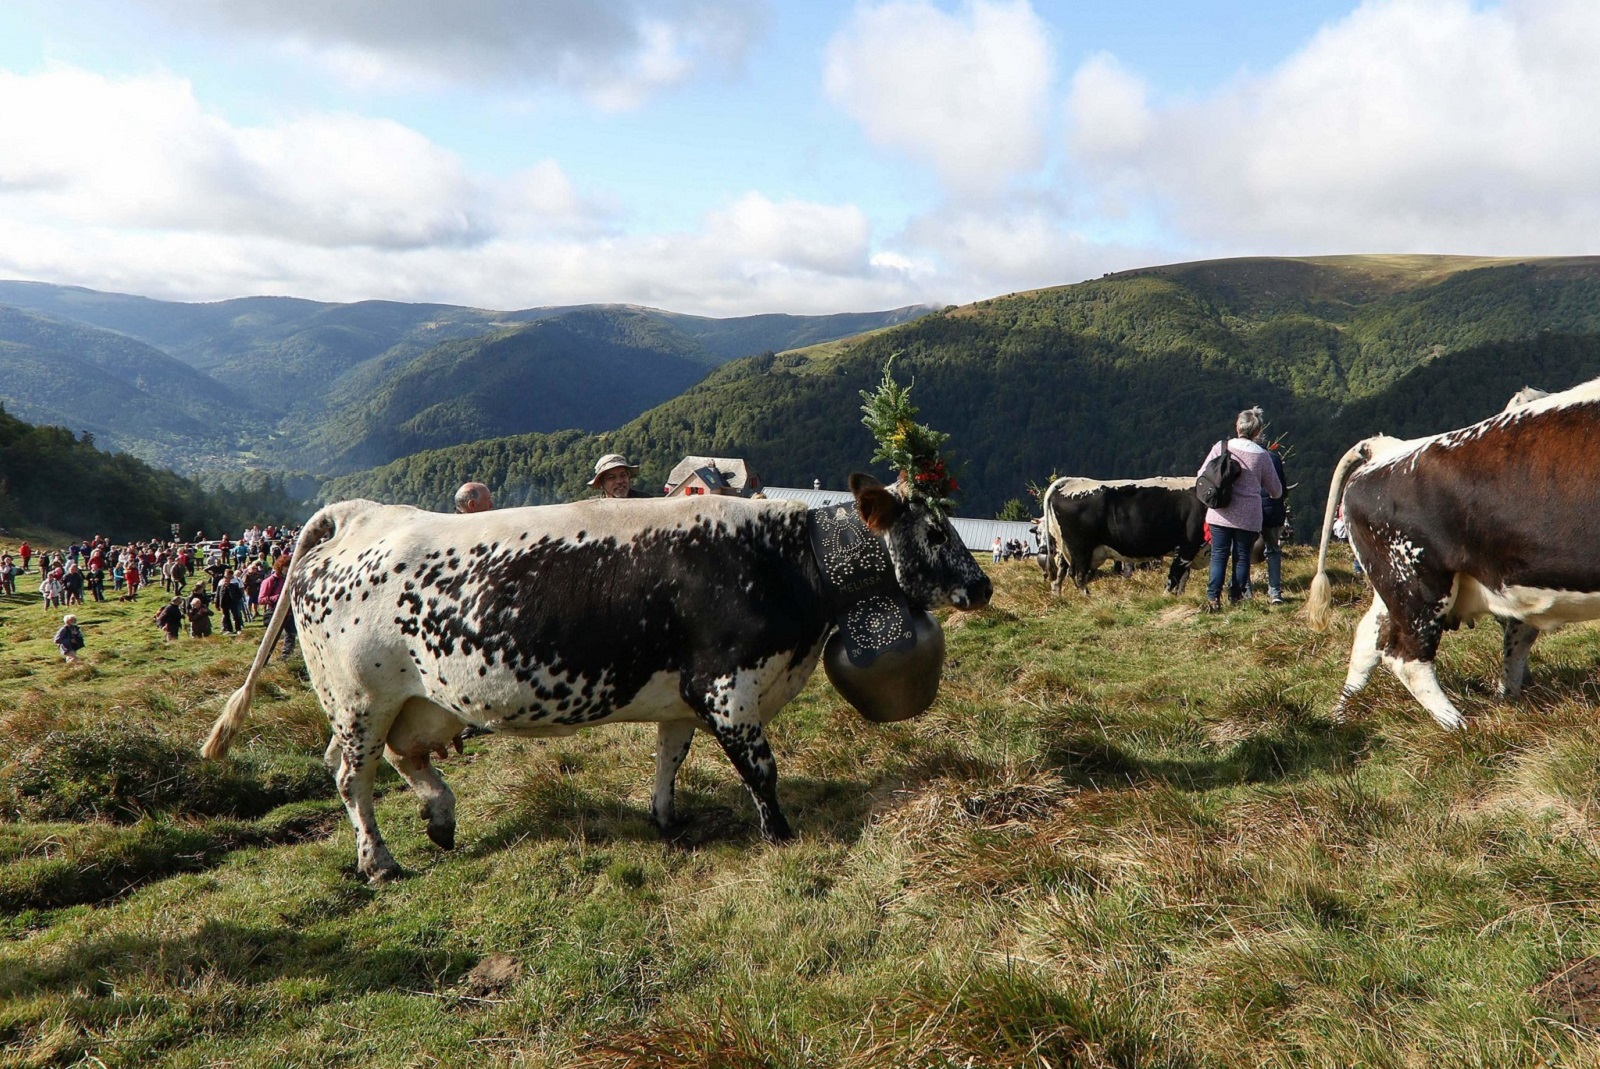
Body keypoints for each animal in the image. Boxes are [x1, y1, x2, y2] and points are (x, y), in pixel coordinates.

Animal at [1043, 473, 1203, 592]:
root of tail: (1071, 481)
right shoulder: (1187, 545)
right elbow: (1174, 578)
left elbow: (1182, 580)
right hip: (1081, 548)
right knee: (1078, 576)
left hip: (1063, 547)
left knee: (1059, 576)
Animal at [1305, 379, 1600, 729]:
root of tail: (1388, 449)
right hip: (1417, 584)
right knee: (1405, 656)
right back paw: (1459, 724)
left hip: (1392, 586)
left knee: (1369, 638)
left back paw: (1341, 715)